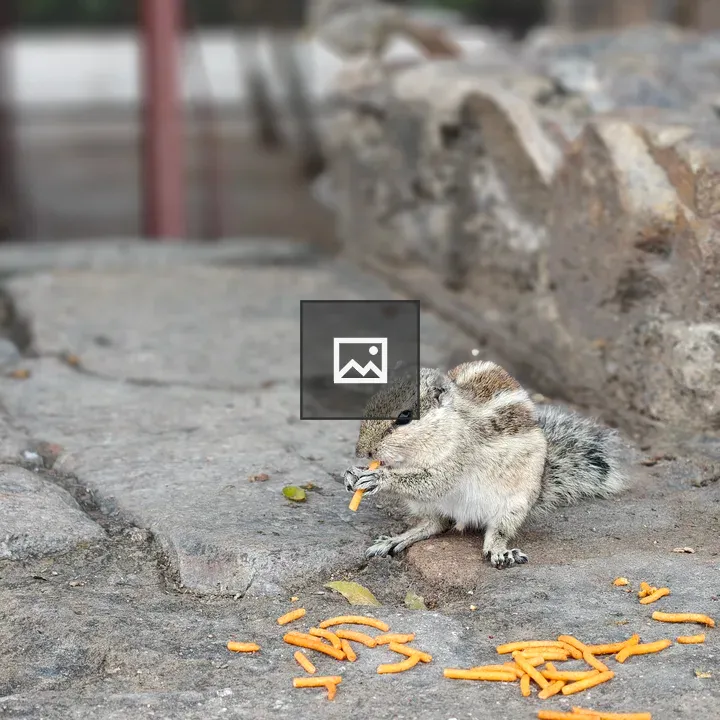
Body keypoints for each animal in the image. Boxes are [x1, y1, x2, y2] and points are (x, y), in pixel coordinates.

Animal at [343, 360, 626, 569]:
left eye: (404, 416)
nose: (362, 451)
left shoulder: (459, 456)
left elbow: (434, 481)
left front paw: (378, 478)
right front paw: (352, 474)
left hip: (512, 506)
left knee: (497, 531)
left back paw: (499, 551)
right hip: (426, 506)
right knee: (435, 524)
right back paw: (395, 540)